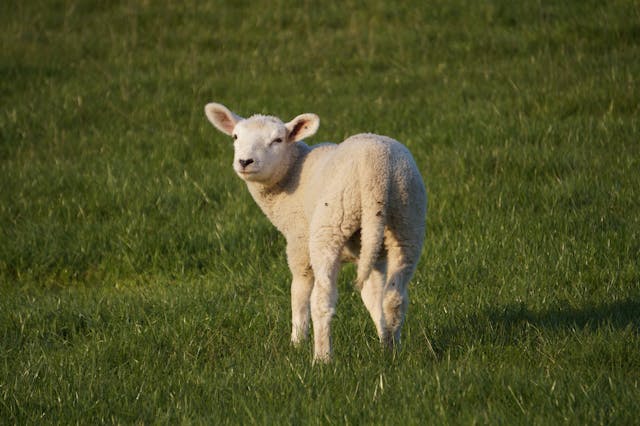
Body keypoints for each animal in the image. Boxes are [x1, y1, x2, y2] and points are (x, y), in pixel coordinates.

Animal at [204, 101, 424, 362]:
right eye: (235, 137)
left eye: (278, 140)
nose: (245, 161)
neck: (291, 174)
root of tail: (377, 172)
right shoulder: (372, 254)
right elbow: (373, 296)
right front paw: (384, 340)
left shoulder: (298, 242)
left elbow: (298, 292)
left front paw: (297, 342)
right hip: (407, 220)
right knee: (394, 297)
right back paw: (391, 353)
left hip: (330, 223)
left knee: (322, 299)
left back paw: (322, 358)